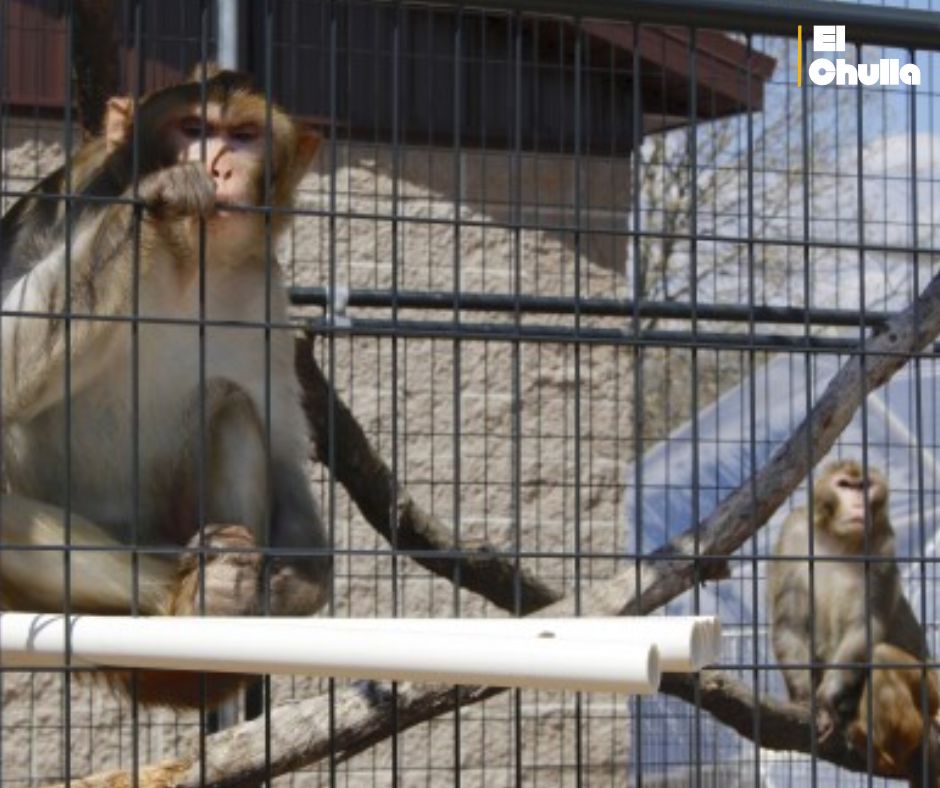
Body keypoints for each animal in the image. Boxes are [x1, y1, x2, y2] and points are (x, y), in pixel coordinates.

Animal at [0, 67, 331, 707]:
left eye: (244, 135)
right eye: (193, 128)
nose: (218, 167)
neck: (184, 259)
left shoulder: (262, 291)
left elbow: (280, 441)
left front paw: (301, 583)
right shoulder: (59, 209)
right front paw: (159, 197)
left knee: (231, 406)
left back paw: (227, 596)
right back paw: (186, 598)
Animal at [768, 459, 936, 779]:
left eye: (865, 486)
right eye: (845, 485)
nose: (859, 503)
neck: (839, 539)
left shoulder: (883, 545)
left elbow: (865, 626)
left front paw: (826, 698)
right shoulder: (793, 532)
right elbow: (790, 623)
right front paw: (806, 699)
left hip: (932, 691)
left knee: (881, 657)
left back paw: (886, 755)